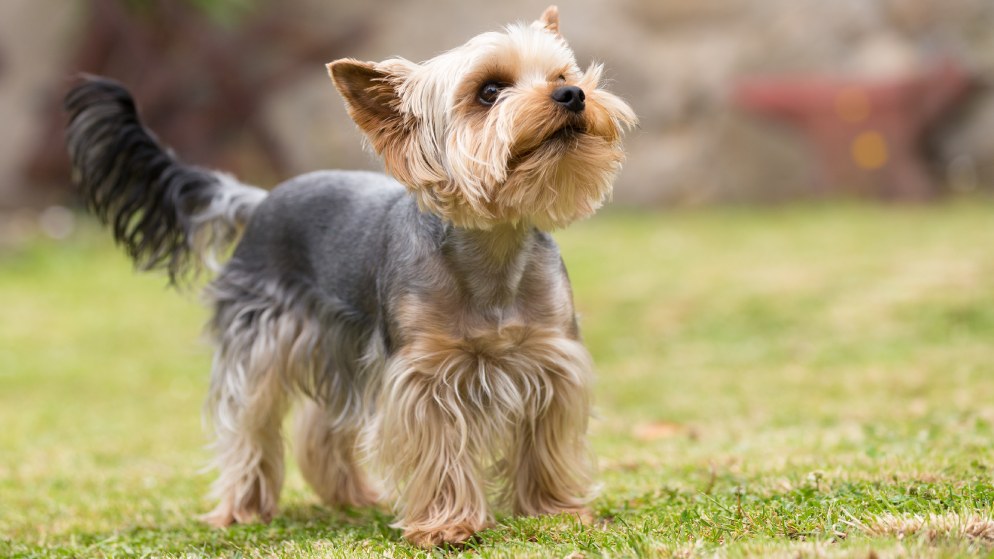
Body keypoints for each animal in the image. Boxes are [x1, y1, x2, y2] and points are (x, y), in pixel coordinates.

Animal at [64, 4, 636, 548]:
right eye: (489, 91)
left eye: (562, 73)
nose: (572, 93)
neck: (494, 244)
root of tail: (260, 197)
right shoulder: (423, 375)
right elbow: (438, 450)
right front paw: (446, 525)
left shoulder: (550, 359)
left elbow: (545, 442)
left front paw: (554, 510)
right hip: (262, 341)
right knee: (249, 425)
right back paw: (242, 507)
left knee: (321, 424)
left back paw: (349, 496)